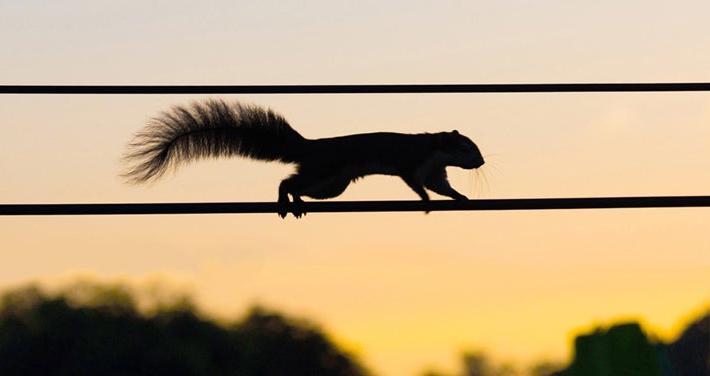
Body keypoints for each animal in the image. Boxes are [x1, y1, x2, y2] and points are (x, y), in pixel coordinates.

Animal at [125, 98, 486, 219]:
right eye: (466, 147)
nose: (481, 162)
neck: (434, 149)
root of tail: (310, 146)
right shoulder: (413, 162)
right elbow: (417, 184)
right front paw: (425, 200)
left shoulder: (436, 170)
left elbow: (442, 186)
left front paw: (460, 197)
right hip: (326, 172)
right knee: (288, 180)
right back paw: (286, 199)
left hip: (332, 185)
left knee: (298, 184)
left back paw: (296, 202)